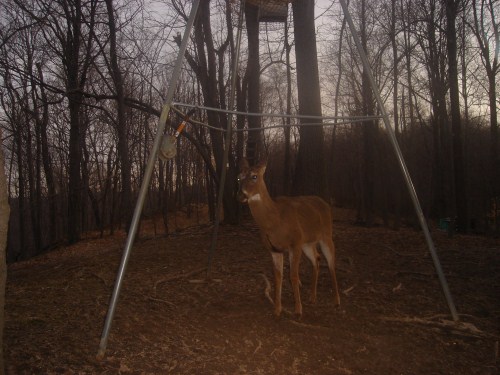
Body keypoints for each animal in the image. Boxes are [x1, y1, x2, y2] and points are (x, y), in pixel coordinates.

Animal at [237, 157, 340, 318]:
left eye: (254, 176)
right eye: (238, 177)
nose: (240, 196)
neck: (275, 221)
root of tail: (325, 203)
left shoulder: (295, 243)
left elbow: (293, 276)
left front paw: (298, 310)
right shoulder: (274, 249)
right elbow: (278, 277)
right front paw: (277, 310)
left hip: (326, 235)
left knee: (331, 263)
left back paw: (336, 301)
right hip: (307, 243)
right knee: (317, 258)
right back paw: (312, 297)